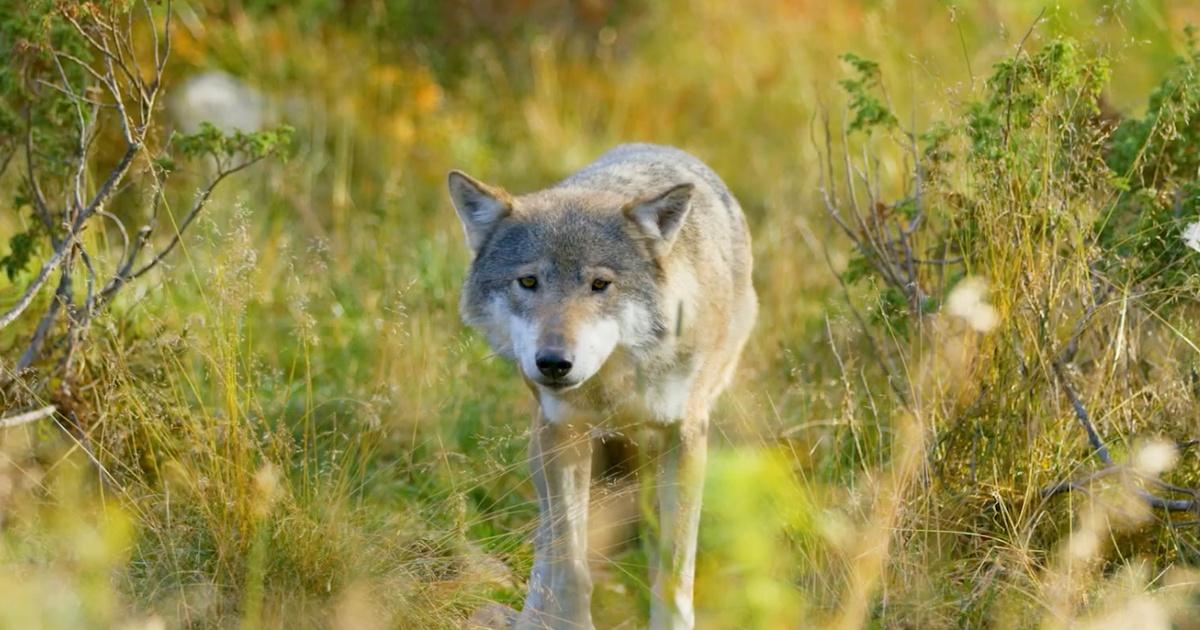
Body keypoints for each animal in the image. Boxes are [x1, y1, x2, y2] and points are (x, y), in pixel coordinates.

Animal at [448, 144, 757, 629]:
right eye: (529, 281)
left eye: (600, 285)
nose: (554, 363)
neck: (612, 381)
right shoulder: (563, 433)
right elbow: (570, 564)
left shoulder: (686, 435)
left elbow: (674, 569)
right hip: (543, 443)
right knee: (547, 541)